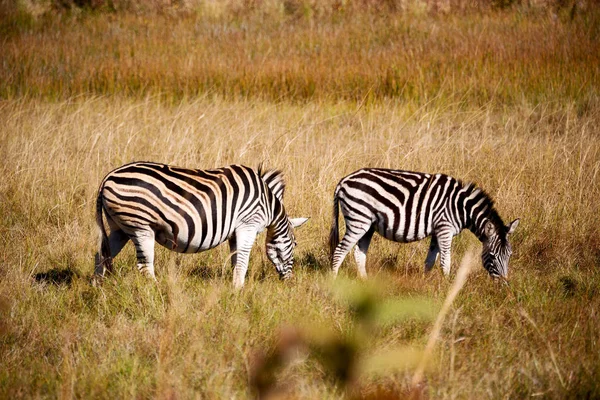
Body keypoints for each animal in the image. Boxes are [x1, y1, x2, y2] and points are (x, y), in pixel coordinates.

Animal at [95, 161, 310, 290]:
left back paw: (97, 288)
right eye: (295, 244)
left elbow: (235, 260)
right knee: (144, 266)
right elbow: (243, 261)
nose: (290, 283)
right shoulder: (248, 224)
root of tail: (108, 177)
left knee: (101, 255)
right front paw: (239, 291)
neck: (269, 205)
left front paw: (234, 288)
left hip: (119, 229)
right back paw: (157, 291)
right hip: (140, 227)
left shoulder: (235, 232)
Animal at [328, 168, 520, 278]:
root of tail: (343, 180)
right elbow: (445, 261)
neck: (461, 207)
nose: (504, 286)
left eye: (509, 255)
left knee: (359, 255)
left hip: (368, 225)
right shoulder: (445, 228)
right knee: (339, 251)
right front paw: (447, 287)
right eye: (493, 256)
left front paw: (426, 285)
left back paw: (365, 284)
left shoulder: (437, 230)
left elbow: (430, 261)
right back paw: (334, 282)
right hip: (358, 219)